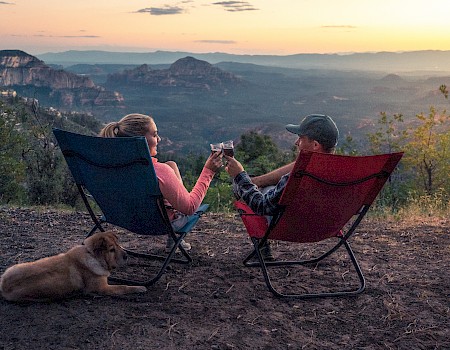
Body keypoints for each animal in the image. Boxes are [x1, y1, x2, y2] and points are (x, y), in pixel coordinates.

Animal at [0, 231, 147, 302]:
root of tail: (4, 287)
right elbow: (123, 286)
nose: (126, 256)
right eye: (111, 250)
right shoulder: (102, 288)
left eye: (118, 245)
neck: (92, 256)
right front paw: (139, 288)